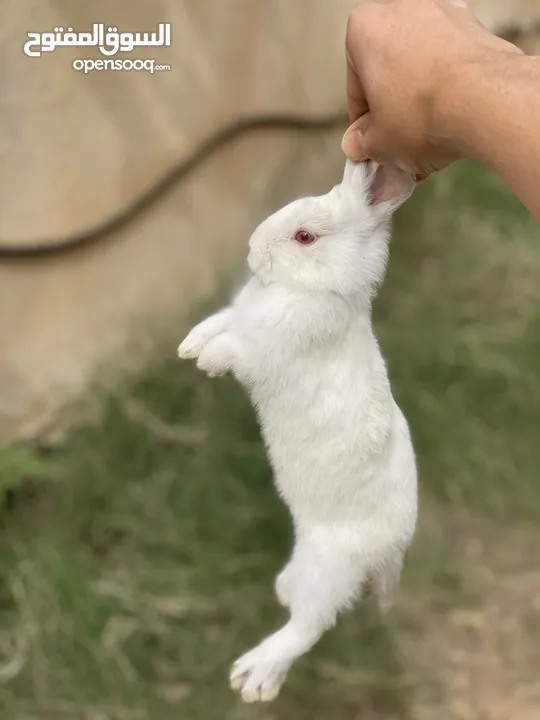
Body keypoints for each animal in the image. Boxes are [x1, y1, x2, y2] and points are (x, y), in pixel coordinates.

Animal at [177, 159, 418, 704]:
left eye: (304, 236)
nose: (251, 250)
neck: (301, 288)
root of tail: (393, 552)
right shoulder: (238, 317)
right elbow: (219, 321)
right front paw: (190, 347)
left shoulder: (263, 351)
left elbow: (235, 349)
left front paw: (208, 362)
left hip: (327, 572)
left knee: (307, 628)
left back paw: (254, 678)